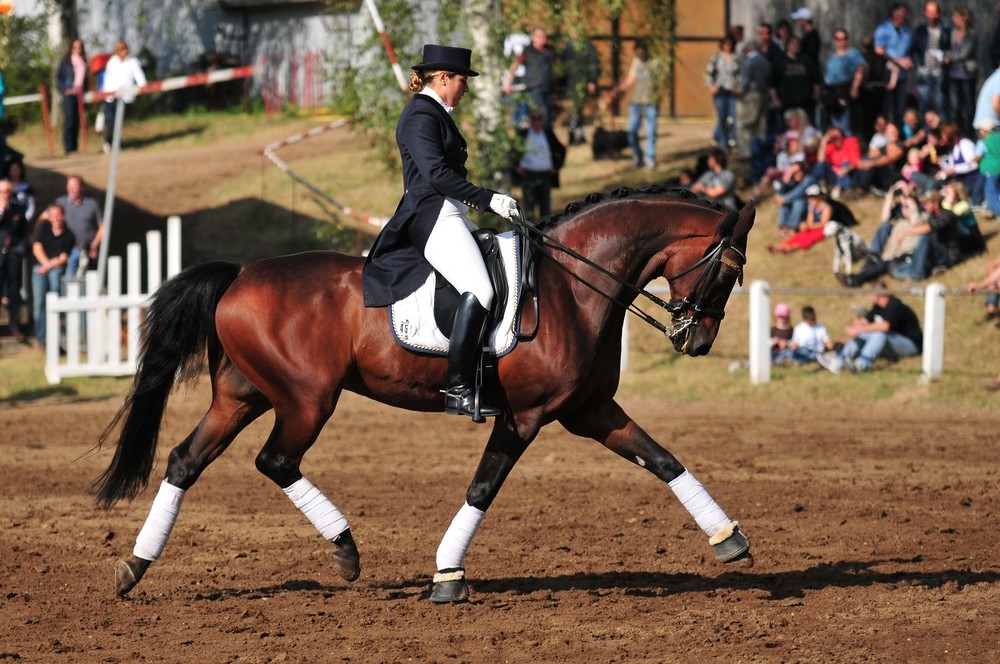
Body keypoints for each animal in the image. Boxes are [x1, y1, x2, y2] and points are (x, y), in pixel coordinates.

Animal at [94, 187, 752, 600]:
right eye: (727, 271)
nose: (695, 341)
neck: (574, 285)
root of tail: (241, 273)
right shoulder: (526, 416)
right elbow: (482, 488)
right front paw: (447, 574)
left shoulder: (590, 410)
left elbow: (663, 460)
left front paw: (731, 540)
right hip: (306, 399)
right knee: (275, 459)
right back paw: (345, 551)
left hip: (243, 396)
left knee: (186, 460)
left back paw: (134, 566)